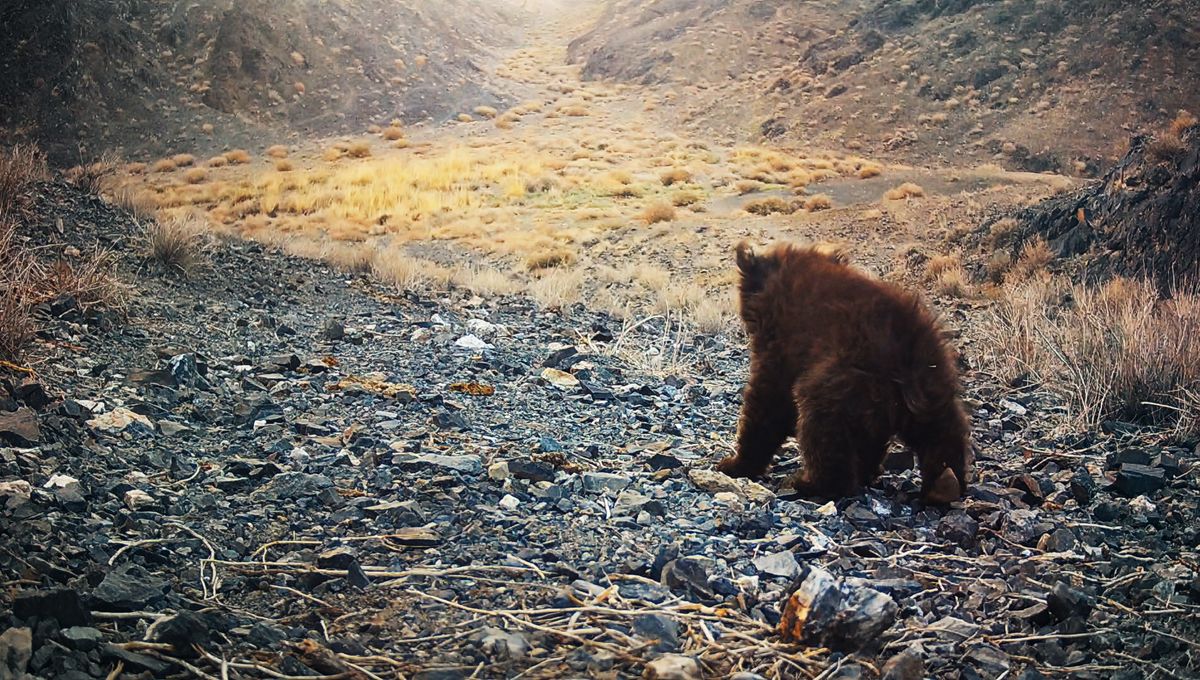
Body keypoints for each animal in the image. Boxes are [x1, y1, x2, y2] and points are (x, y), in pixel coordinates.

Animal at [715, 241, 971, 503]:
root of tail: (907, 351)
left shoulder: (783, 345)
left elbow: (768, 400)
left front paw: (735, 463)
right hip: (930, 383)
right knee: (941, 429)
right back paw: (943, 483)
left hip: (845, 376)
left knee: (822, 422)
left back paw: (812, 484)